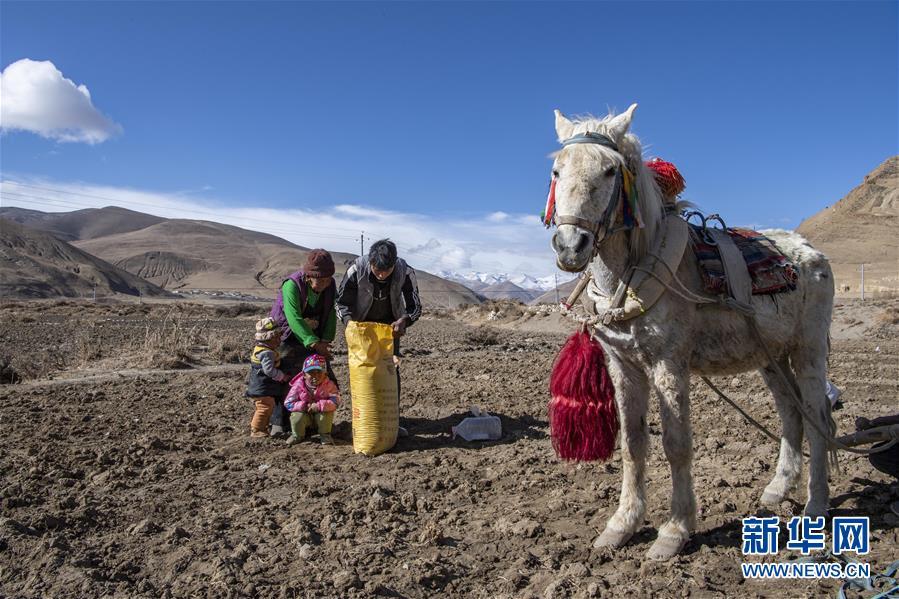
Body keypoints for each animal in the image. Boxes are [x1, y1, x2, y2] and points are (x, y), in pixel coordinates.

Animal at [548, 104, 836, 564]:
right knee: (791, 413)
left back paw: (815, 506)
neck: (634, 271)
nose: (570, 245)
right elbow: (632, 443)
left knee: (816, 418)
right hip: (771, 358)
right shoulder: (623, 365)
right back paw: (777, 489)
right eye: (557, 171)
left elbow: (676, 444)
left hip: (808, 351)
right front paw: (622, 525)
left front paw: (675, 530)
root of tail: (812, 252)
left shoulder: (670, 364)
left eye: (610, 170)